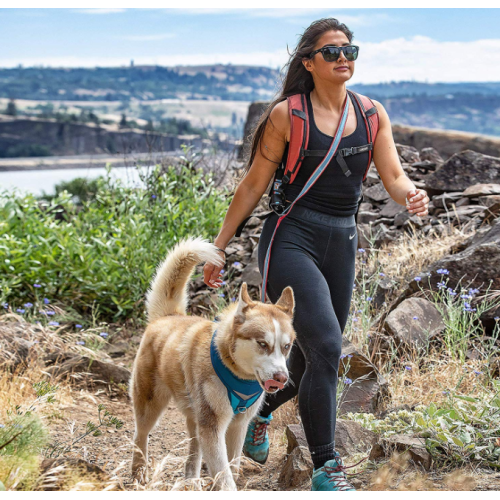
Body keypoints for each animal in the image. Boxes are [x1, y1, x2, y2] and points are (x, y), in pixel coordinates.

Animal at [129, 236, 296, 490]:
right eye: (262, 344)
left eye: (286, 346)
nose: (281, 378)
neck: (237, 374)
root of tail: (168, 316)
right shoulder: (213, 426)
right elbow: (224, 475)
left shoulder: (238, 425)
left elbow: (232, 465)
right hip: (151, 405)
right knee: (140, 436)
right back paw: (139, 473)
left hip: (195, 416)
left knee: (193, 454)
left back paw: (192, 481)